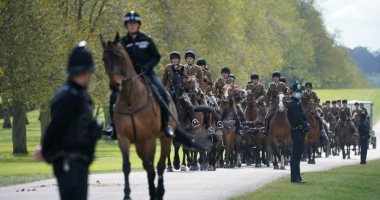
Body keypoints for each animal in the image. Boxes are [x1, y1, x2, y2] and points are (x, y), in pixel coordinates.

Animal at [99, 33, 206, 199]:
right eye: (173, 78)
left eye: (183, 78)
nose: (180, 91)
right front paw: (175, 164)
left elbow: (184, 147)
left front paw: (182, 164)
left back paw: (194, 164)